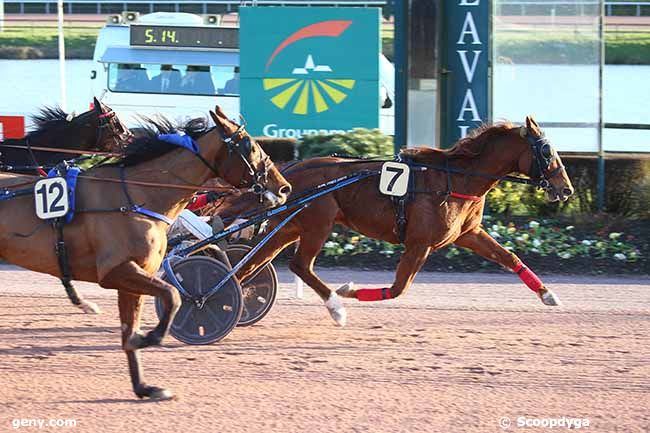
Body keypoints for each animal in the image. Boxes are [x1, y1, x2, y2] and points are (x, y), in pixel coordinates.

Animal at [0, 107, 290, 398]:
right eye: (250, 146)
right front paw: (151, 337)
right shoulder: (116, 272)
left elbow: (130, 331)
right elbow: (173, 295)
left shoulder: (132, 276)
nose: (284, 187)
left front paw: (144, 387)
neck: (135, 197)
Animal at [219, 116, 572, 326]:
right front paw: (348, 290)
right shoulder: (420, 242)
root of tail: (291, 171)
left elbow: (508, 257)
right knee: (300, 265)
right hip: (319, 223)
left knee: (250, 265)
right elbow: (398, 288)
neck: (456, 179)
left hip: (291, 226)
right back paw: (336, 307)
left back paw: (235, 297)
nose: (565, 188)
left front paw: (548, 294)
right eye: (547, 152)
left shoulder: (467, 233)